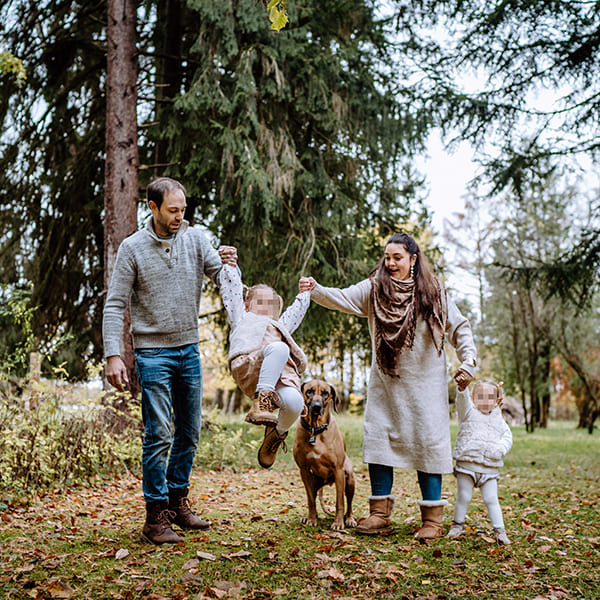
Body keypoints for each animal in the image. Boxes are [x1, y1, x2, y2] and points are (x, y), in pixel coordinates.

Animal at [292, 380, 356, 528]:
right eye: (309, 391)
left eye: (325, 393)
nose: (316, 406)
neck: (315, 430)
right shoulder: (304, 470)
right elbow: (310, 500)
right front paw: (311, 519)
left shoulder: (338, 470)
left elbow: (340, 502)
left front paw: (338, 522)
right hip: (314, 483)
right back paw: (309, 517)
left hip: (349, 480)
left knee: (349, 503)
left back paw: (349, 519)